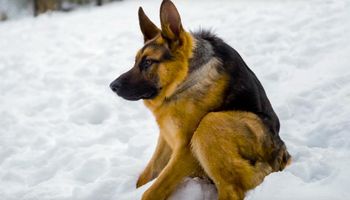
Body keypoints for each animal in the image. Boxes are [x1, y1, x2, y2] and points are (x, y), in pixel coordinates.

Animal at [109, 0, 290, 199]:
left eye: (148, 62)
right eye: (135, 62)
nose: (112, 86)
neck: (185, 79)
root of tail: (283, 156)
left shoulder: (185, 151)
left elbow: (151, 192)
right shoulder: (166, 137)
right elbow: (144, 179)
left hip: (210, 124)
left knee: (231, 189)